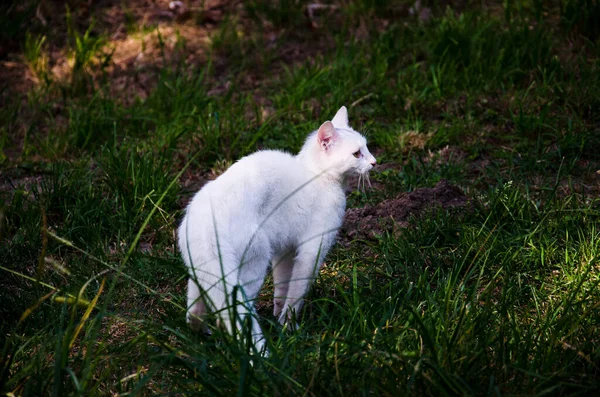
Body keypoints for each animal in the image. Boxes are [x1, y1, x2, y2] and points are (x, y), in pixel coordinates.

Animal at [178, 106, 376, 352]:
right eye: (357, 154)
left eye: (366, 147)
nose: (374, 162)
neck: (315, 175)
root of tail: (207, 220)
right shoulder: (313, 249)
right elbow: (297, 293)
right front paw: (289, 327)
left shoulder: (285, 250)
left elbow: (283, 286)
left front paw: (278, 317)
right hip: (253, 265)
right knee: (233, 312)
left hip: (201, 273)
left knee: (194, 312)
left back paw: (204, 337)